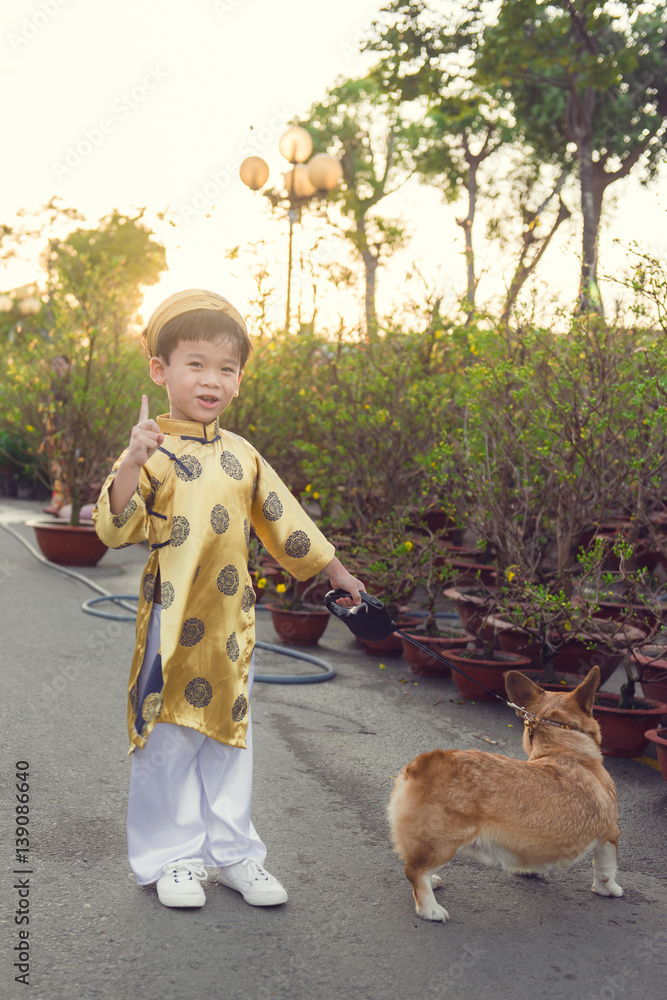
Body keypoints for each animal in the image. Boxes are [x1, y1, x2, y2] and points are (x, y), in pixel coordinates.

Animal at [388, 664, 624, 920]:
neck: (563, 749)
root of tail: (421, 765)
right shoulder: (609, 835)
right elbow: (605, 869)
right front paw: (610, 890)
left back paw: (433, 882)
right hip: (444, 843)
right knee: (414, 870)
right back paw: (430, 909)